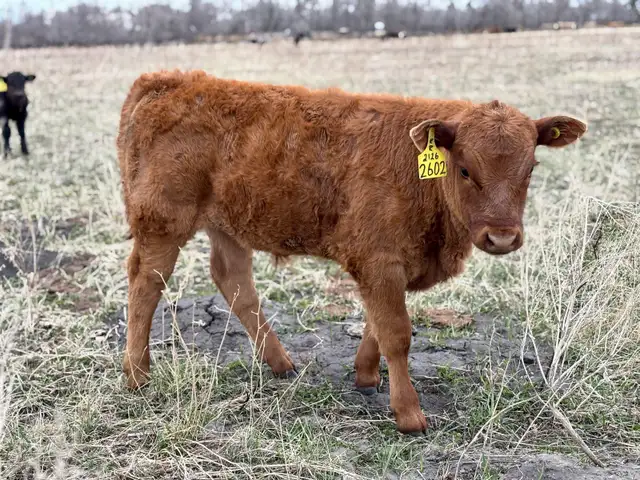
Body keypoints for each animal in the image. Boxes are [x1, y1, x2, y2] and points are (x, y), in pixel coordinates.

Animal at [116, 70, 587, 434]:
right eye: (466, 169)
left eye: (530, 169)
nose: (502, 237)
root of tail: (169, 80)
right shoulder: (379, 260)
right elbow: (396, 332)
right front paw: (408, 414)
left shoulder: (387, 262)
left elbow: (377, 323)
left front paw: (365, 375)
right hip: (163, 222)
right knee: (146, 283)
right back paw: (137, 374)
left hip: (227, 224)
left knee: (234, 283)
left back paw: (280, 363)